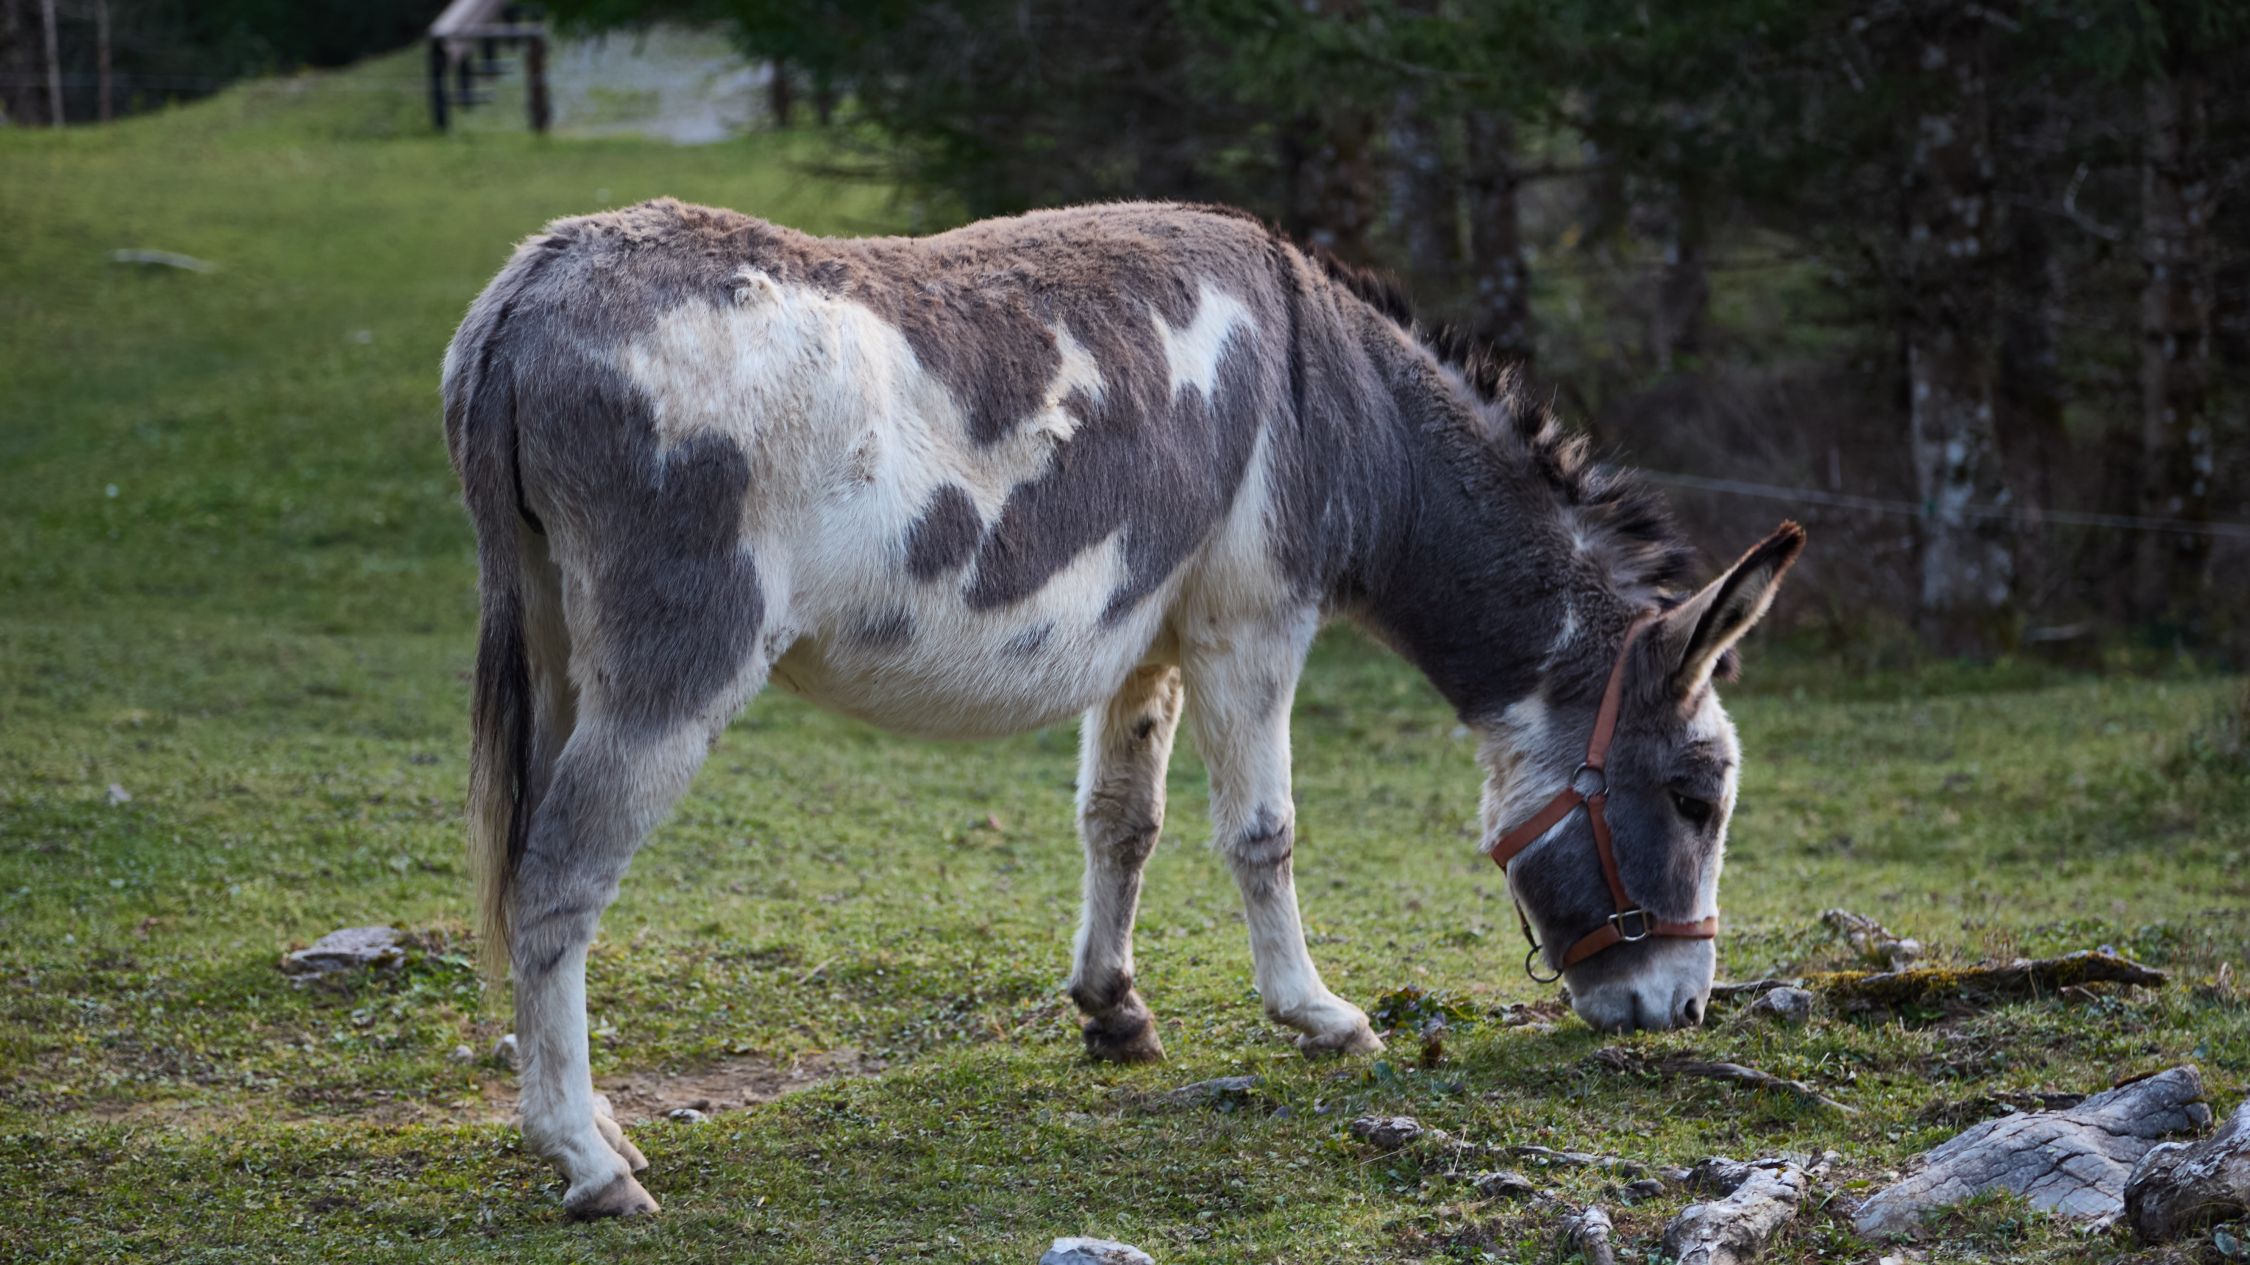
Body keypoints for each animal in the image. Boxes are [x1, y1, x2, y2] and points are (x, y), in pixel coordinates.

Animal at [442, 197, 1804, 1219]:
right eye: (1696, 796)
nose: (1677, 1010)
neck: (1340, 400)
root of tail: (527, 289)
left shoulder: (1147, 637)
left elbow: (1121, 819)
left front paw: (1114, 1011)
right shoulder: (1253, 621)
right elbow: (1263, 831)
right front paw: (1317, 1014)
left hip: (556, 646)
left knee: (530, 871)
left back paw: (598, 1122)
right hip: (675, 666)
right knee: (557, 882)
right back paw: (587, 1162)